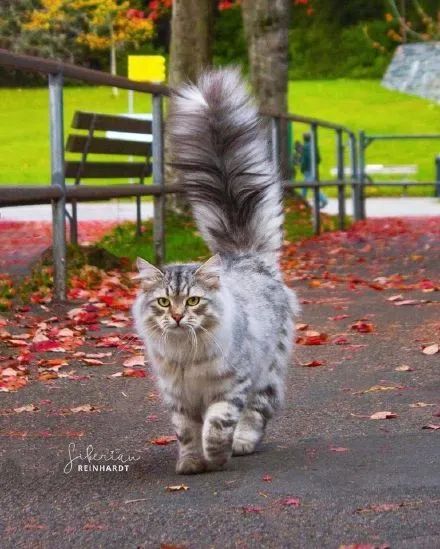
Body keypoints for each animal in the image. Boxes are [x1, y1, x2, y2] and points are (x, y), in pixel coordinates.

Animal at [132, 66, 298, 474]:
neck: (186, 356)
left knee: (259, 411)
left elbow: (216, 425)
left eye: (193, 301)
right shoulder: (179, 397)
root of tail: (244, 256)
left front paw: (217, 456)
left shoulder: (231, 386)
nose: (177, 317)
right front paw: (191, 464)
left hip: (267, 371)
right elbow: (187, 433)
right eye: (163, 302)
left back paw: (243, 444)